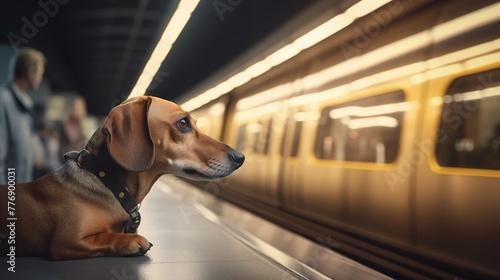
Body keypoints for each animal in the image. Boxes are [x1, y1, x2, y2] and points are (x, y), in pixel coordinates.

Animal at [0, 97, 244, 260]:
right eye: (183, 123)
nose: (240, 157)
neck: (107, 181)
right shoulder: (67, 240)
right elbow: (105, 237)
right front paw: (131, 241)